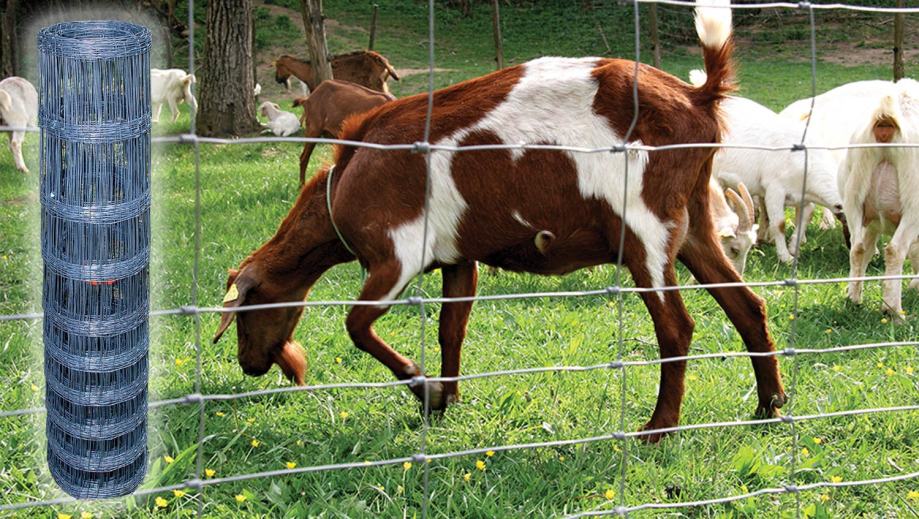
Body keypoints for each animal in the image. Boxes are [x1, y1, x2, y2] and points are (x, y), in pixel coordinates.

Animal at [212, 1, 788, 442]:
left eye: (247, 310)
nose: (248, 364)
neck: (346, 180)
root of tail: (699, 95)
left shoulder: (397, 254)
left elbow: (356, 325)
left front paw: (423, 388)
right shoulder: (457, 257)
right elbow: (451, 329)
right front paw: (446, 399)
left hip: (644, 229)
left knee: (677, 327)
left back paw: (659, 428)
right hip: (692, 225)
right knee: (747, 305)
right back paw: (769, 404)